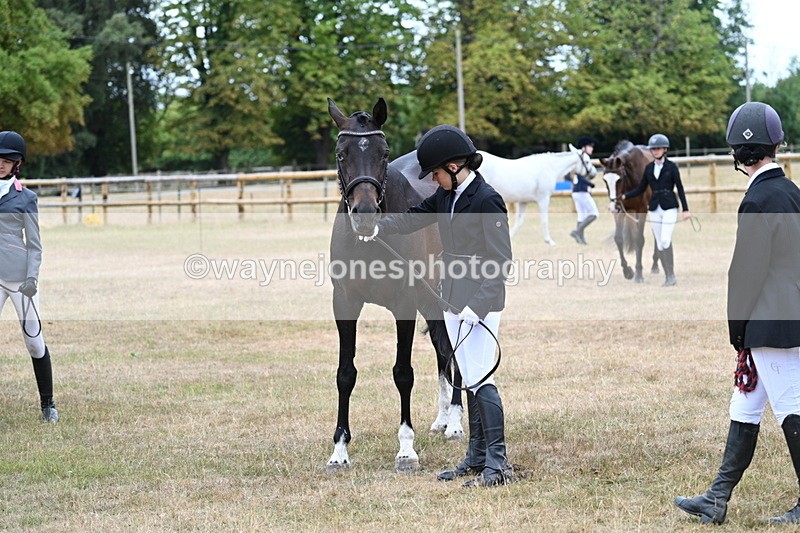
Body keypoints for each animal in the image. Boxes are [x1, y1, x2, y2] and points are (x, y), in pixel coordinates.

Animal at [326, 97, 464, 473]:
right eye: (340, 153)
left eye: (384, 152)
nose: (364, 214)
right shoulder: (345, 303)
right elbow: (345, 373)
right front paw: (339, 451)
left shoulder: (404, 304)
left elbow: (403, 373)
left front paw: (406, 450)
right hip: (431, 301)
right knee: (442, 349)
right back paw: (442, 419)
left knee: (454, 349)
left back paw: (455, 422)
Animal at [391, 145, 597, 245]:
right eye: (587, 161)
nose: (594, 174)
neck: (547, 167)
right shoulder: (543, 199)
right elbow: (544, 221)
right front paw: (549, 241)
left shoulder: (524, 202)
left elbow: (519, 222)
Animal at [600, 141, 659, 282]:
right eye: (605, 180)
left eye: (619, 179)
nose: (612, 206)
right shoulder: (620, 211)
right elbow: (618, 239)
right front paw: (627, 271)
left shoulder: (642, 209)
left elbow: (639, 239)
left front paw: (638, 274)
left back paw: (655, 265)